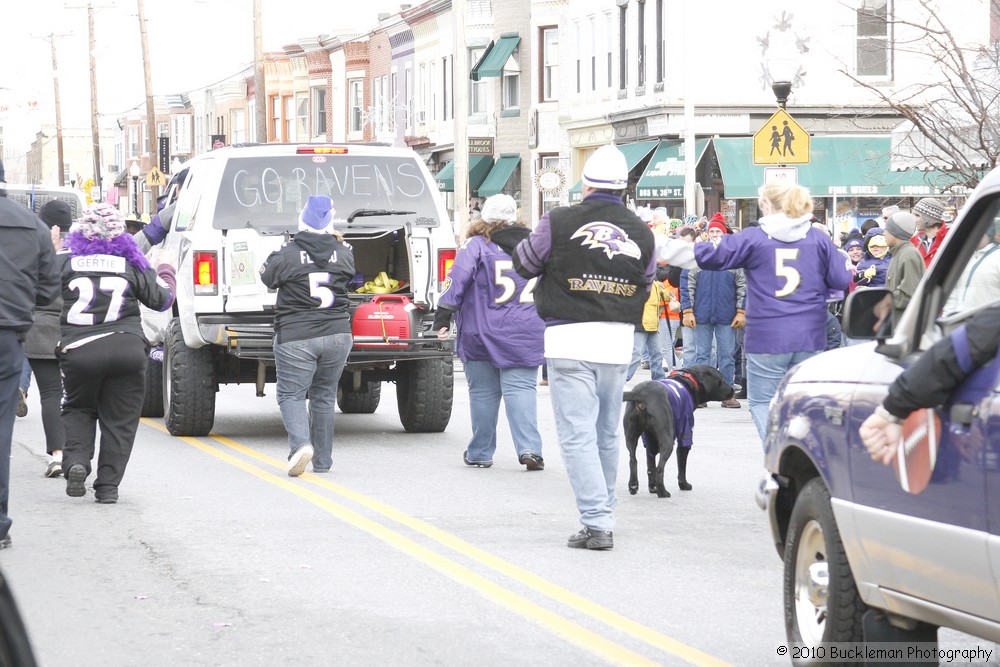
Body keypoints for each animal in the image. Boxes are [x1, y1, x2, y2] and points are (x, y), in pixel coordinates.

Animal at [624, 368, 736, 498]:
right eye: (721, 379)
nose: (733, 390)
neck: (690, 379)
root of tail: (642, 394)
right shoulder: (685, 432)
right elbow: (682, 466)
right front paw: (684, 484)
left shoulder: (650, 440)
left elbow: (650, 465)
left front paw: (652, 487)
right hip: (667, 440)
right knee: (660, 468)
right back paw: (662, 492)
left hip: (631, 436)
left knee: (633, 460)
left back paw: (634, 485)